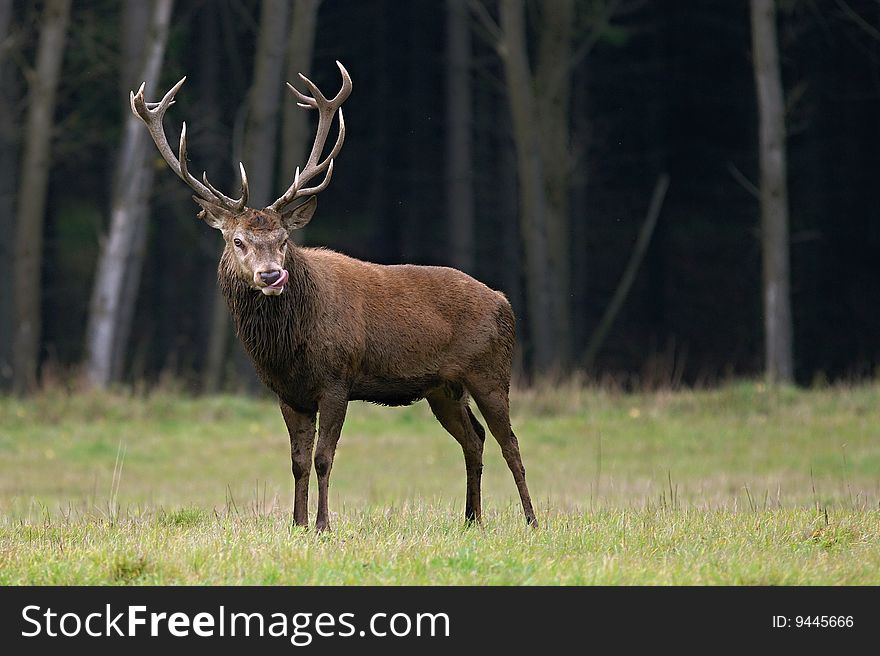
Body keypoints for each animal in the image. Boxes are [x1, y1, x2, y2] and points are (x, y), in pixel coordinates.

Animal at [131, 62, 536, 532]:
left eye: (284, 239)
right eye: (237, 241)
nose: (272, 275)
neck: (287, 347)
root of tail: (504, 302)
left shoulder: (337, 379)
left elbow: (324, 458)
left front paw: (324, 525)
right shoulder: (288, 392)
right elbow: (297, 462)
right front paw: (297, 523)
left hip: (490, 372)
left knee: (510, 442)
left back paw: (531, 520)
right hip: (443, 388)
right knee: (474, 438)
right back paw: (471, 519)